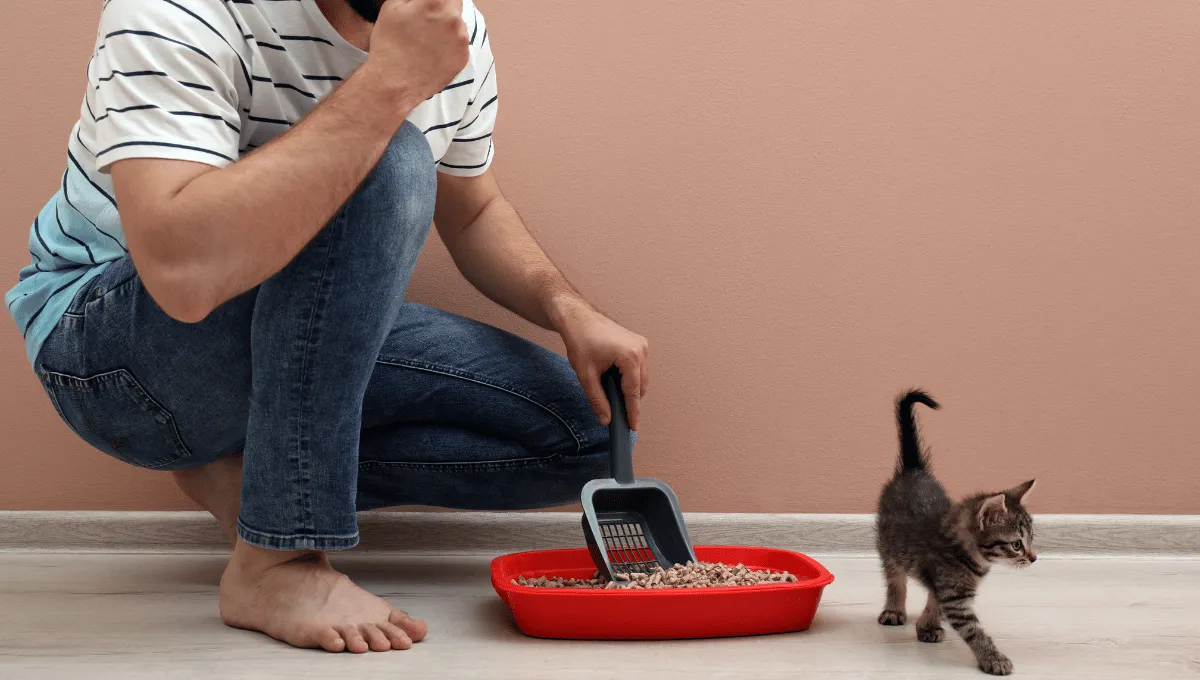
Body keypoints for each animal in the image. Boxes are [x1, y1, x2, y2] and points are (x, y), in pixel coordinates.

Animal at [878, 388, 1036, 676]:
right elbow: (974, 630)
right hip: (888, 545)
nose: (1033, 557)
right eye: (1017, 544)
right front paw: (994, 658)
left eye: (1031, 539)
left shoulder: (946, 586)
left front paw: (927, 625)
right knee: (895, 578)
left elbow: (935, 600)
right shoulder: (955, 596)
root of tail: (913, 469)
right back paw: (894, 609)